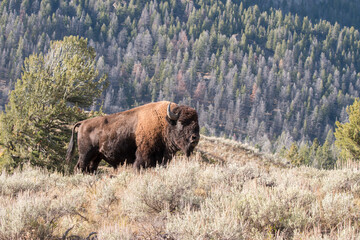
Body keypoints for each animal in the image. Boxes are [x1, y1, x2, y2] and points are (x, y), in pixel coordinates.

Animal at [64, 101, 200, 172]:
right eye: (181, 122)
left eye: (196, 122)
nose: (195, 138)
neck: (164, 123)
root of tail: (83, 123)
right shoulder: (142, 157)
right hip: (85, 154)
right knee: (80, 167)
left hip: (97, 156)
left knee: (90, 169)